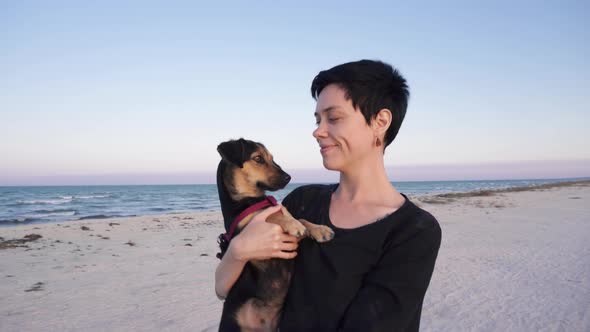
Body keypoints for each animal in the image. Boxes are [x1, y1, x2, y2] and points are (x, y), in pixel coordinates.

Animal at [217, 138, 338, 332]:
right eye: (258, 158)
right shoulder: (252, 231)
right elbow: (274, 215)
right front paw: (294, 224)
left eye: (272, 158)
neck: (251, 201)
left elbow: (299, 217)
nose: (289, 177)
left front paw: (320, 230)